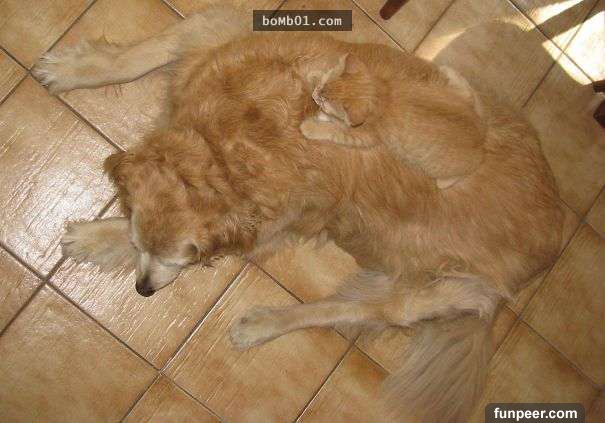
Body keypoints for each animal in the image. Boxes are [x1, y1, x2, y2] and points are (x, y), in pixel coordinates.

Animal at [32, 4, 564, 421]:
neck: (229, 146)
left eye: (185, 260)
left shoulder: (272, 224)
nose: (143, 291)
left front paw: (96, 238)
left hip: (431, 291)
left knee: (348, 311)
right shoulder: (212, 37)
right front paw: (80, 69)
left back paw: (264, 323)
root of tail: (551, 251)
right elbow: (143, 54)